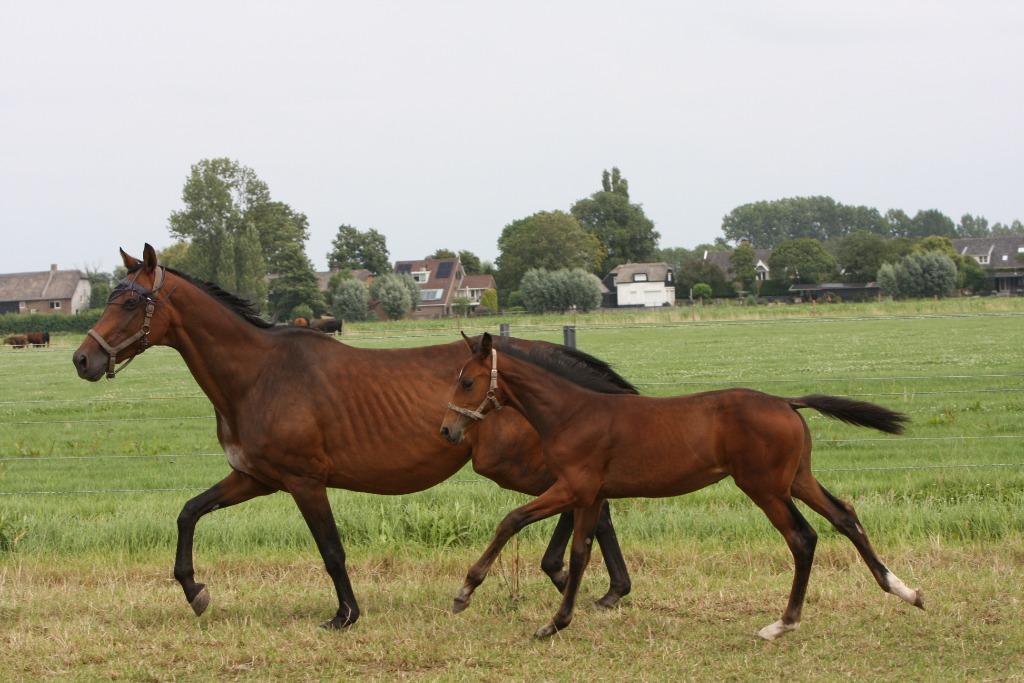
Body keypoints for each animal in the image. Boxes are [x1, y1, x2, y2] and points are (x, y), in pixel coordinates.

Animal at [72, 244, 636, 629]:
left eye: (132, 302)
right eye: (111, 297)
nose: (83, 358)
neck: (259, 374)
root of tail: (548, 357)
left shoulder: (303, 481)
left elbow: (331, 549)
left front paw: (345, 614)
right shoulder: (254, 478)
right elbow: (188, 512)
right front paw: (195, 591)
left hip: (511, 464)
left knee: (585, 503)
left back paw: (577, 577)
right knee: (587, 504)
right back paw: (603, 588)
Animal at [440, 332, 924, 640]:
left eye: (467, 381)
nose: (447, 430)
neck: (573, 413)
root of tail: (787, 402)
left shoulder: (574, 489)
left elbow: (513, 521)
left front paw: (467, 594)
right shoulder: (590, 496)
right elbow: (578, 555)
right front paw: (560, 620)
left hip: (766, 488)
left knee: (803, 538)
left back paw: (782, 624)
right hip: (797, 479)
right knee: (845, 515)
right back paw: (905, 590)